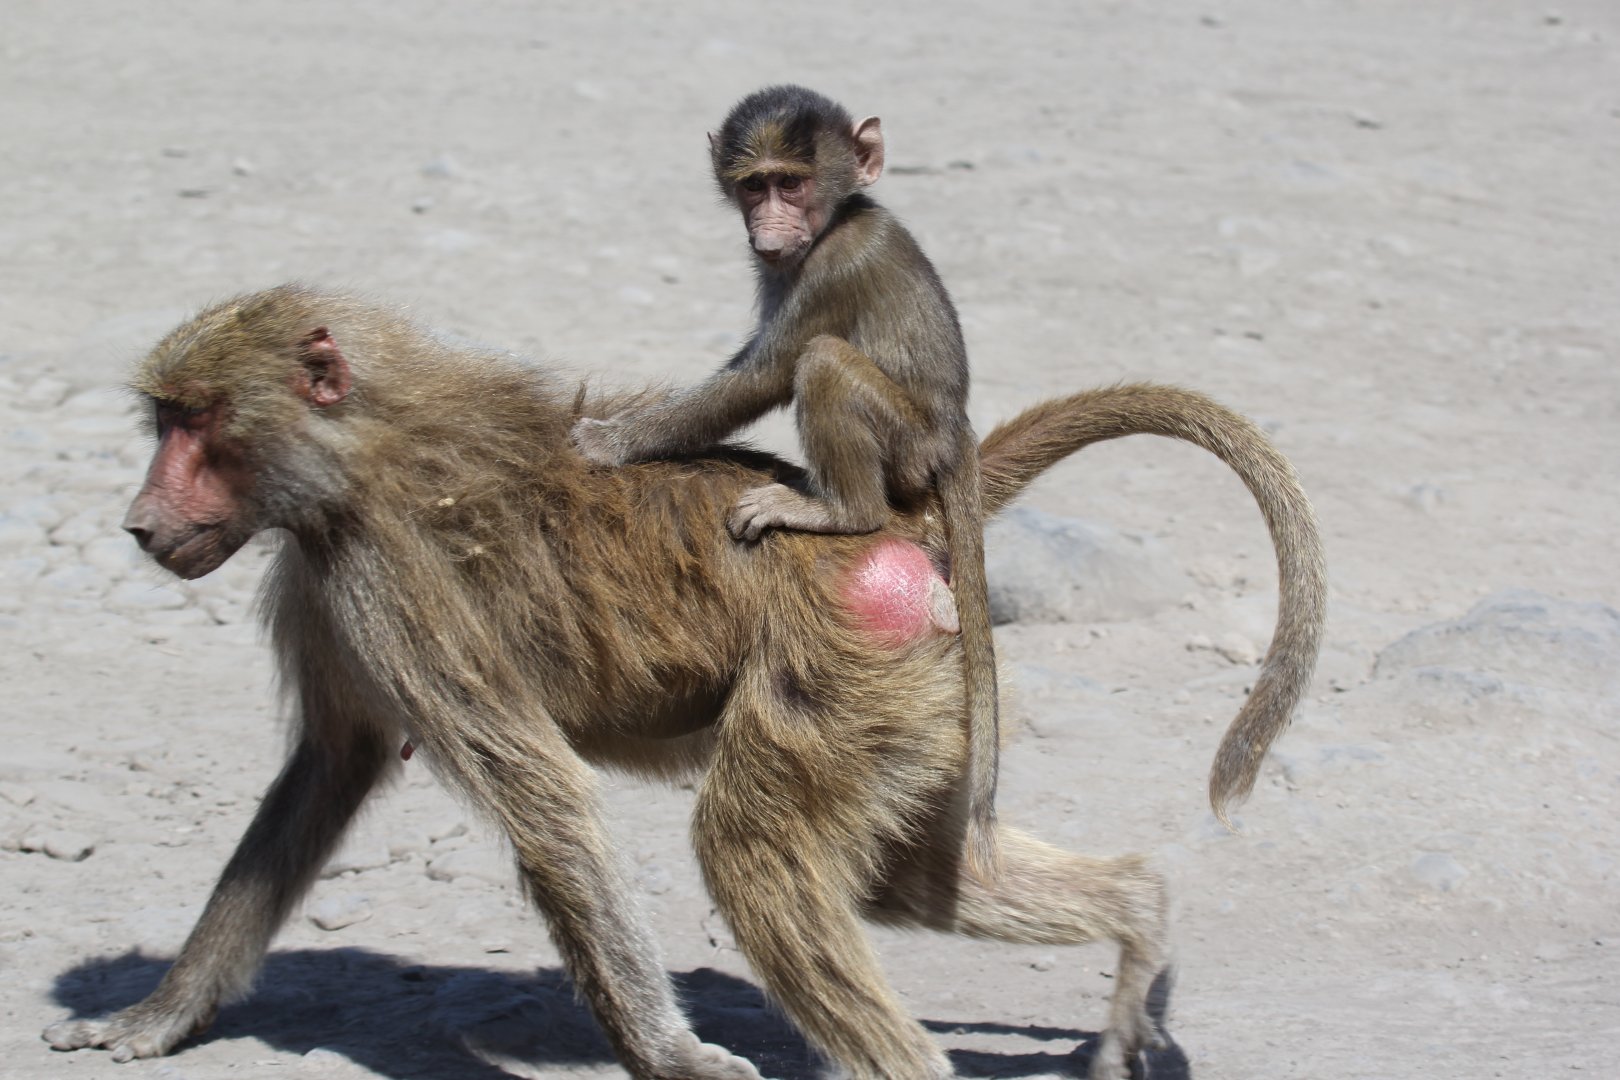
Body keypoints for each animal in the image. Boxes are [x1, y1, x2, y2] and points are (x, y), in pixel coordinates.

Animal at [43, 286, 1326, 1080]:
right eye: (165, 421)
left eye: (199, 424)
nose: (142, 523)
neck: (354, 451)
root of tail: (880, 519)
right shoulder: (321, 577)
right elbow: (327, 769)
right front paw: (157, 1016)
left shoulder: (381, 574)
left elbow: (545, 799)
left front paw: (675, 1057)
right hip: (916, 694)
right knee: (908, 882)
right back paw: (1140, 922)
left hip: (842, 669)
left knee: (752, 851)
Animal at [571, 85, 1007, 878]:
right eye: (755, 185)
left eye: (792, 184)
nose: (769, 225)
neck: (838, 218)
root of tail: (953, 432)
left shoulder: (832, 268)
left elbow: (768, 373)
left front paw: (608, 443)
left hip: (904, 447)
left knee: (824, 362)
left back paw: (844, 512)